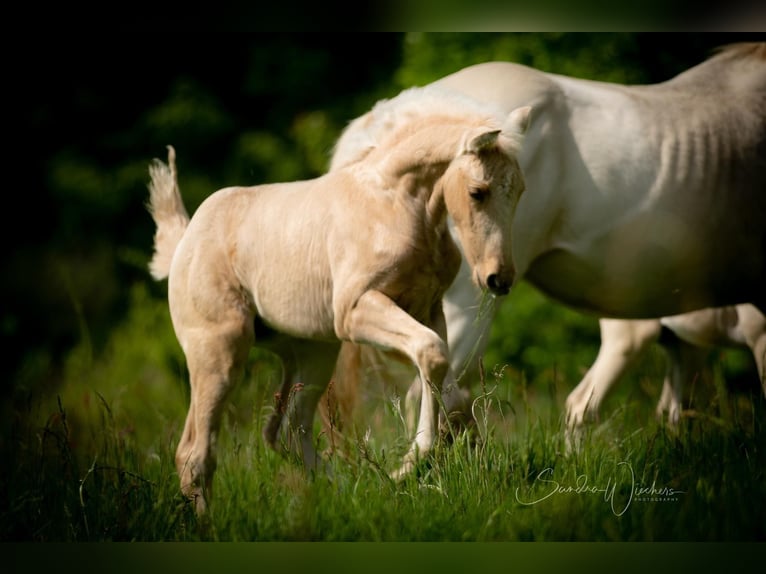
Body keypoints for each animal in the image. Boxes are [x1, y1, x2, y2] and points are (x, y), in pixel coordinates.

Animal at [147, 88, 532, 516]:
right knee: (195, 453)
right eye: (477, 192)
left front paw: (411, 467)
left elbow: (440, 374)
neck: (397, 203)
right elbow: (432, 356)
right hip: (219, 351)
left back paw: (355, 491)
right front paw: (410, 463)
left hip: (313, 353)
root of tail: (184, 242)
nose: (499, 279)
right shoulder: (356, 312)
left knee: (284, 430)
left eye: (519, 190)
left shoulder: (427, 310)